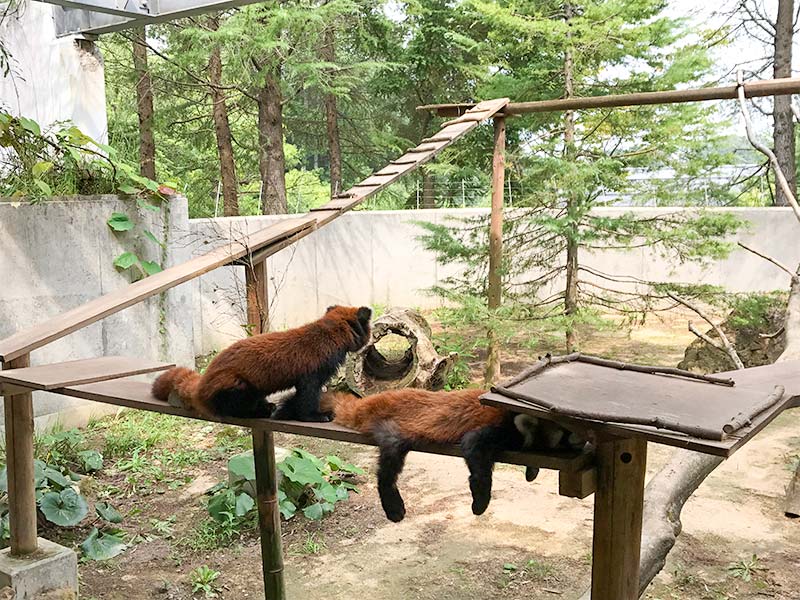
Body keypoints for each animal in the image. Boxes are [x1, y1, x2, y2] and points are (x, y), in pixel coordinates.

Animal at [152, 304, 372, 422]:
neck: (331, 331)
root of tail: (202, 384)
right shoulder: (315, 366)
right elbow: (307, 393)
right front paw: (314, 416)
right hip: (232, 385)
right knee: (236, 402)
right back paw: (257, 410)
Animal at [318, 390, 588, 520]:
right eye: (566, 433)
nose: (585, 439)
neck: (513, 416)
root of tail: (369, 402)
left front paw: (532, 471)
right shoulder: (499, 428)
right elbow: (475, 451)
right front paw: (480, 502)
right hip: (391, 426)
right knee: (390, 461)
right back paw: (393, 505)